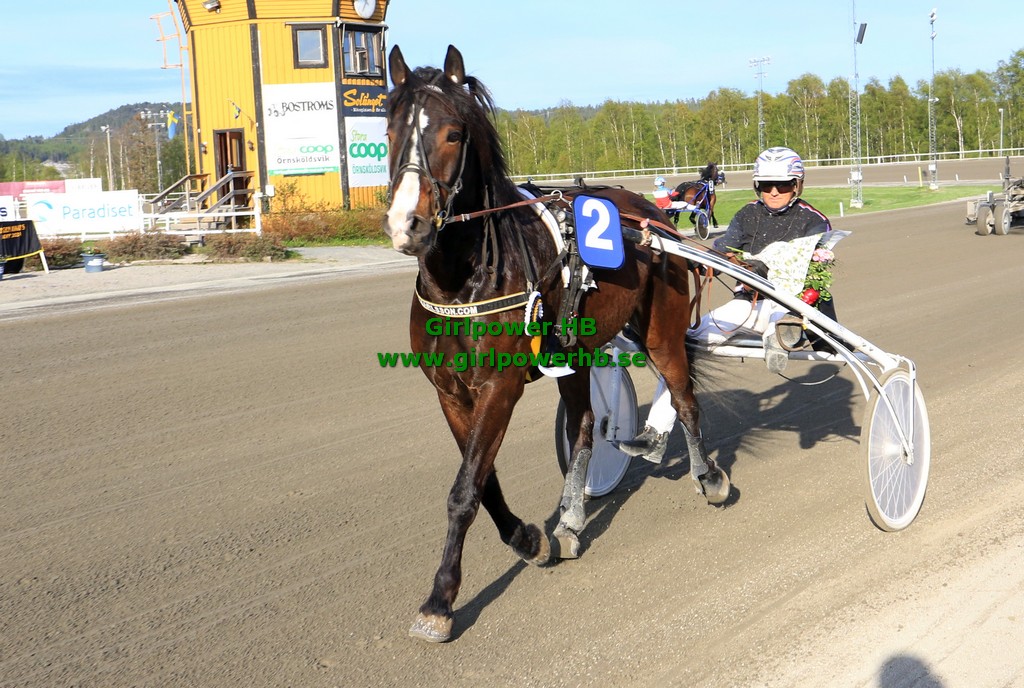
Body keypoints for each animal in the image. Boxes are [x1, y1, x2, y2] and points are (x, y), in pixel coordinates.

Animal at [384, 44, 730, 643]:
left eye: (452, 133)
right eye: (388, 130)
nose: (409, 224)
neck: (464, 277)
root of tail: (652, 215)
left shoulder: (499, 385)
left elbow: (463, 491)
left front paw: (440, 601)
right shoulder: (451, 393)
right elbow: (483, 482)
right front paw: (530, 538)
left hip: (660, 329)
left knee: (684, 396)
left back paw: (707, 477)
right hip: (577, 352)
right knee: (586, 424)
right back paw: (570, 519)